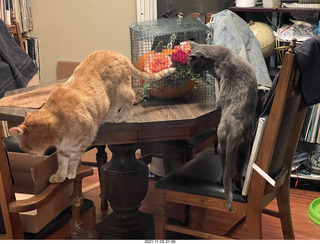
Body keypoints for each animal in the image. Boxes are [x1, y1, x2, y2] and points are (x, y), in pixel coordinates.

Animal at [8, 49, 176, 183]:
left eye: (24, 147)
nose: (26, 153)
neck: (57, 119)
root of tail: (119, 55)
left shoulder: (82, 142)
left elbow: (73, 161)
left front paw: (71, 173)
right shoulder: (62, 149)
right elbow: (62, 163)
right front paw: (60, 176)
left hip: (120, 92)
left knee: (131, 96)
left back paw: (121, 116)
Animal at [188, 41, 258, 211]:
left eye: (192, 63)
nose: (191, 71)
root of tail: (235, 128)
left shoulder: (219, 78)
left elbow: (219, 92)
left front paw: (217, 102)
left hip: (221, 146)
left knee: (227, 167)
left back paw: (221, 179)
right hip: (244, 149)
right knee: (236, 171)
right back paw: (237, 187)